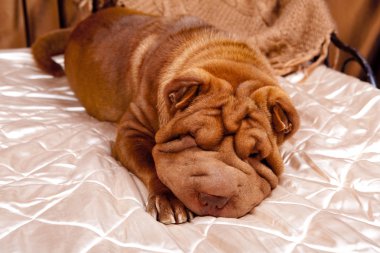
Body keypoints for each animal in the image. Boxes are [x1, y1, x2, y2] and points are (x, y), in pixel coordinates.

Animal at [32, 6, 300, 224]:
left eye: (255, 155)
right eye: (191, 137)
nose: (214, 198)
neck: (229, 58)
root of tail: (80, 24)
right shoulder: (132, 130)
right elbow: (152, 162)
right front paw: (169, 201)